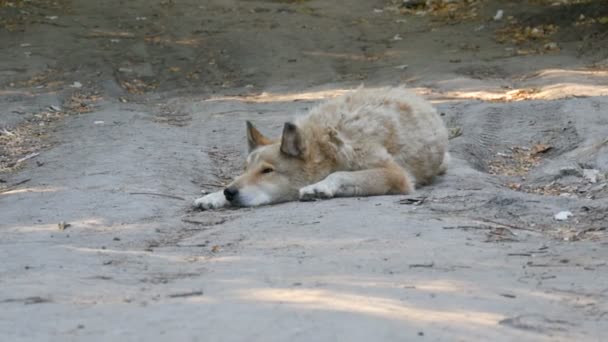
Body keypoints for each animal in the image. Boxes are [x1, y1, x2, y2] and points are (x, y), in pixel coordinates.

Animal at [192, 86, 448, 208]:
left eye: (267, 171)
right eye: (244, 170)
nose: (229, 193)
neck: (323, 147)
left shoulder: (396, 175)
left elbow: (340, 175)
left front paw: (320, 187)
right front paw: (214, 196)